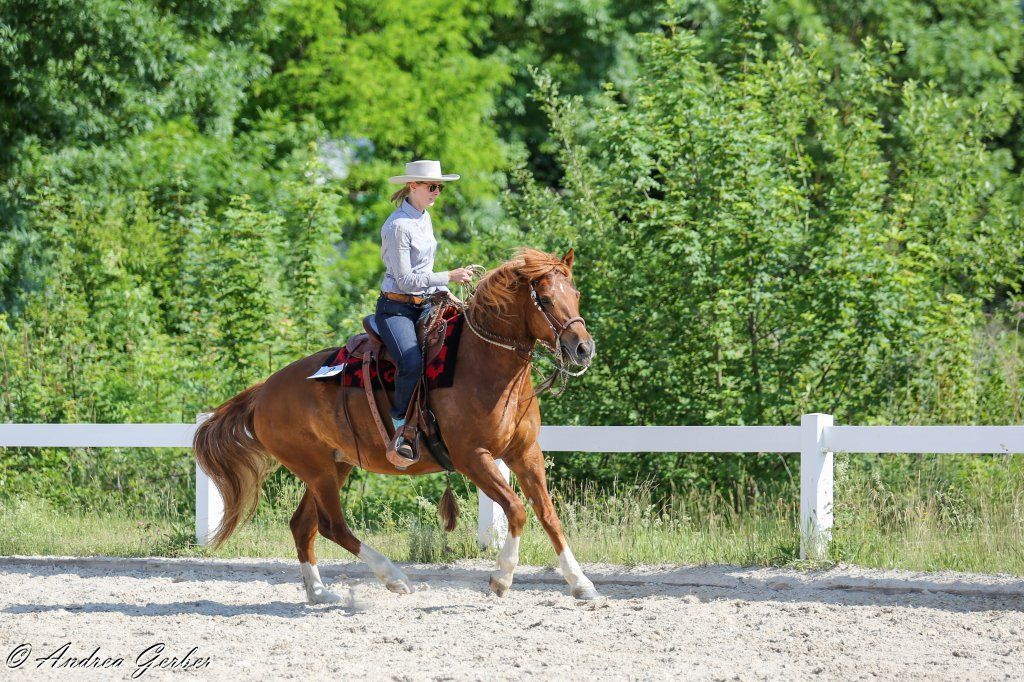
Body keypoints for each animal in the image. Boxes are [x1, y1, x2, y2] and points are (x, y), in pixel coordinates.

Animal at [192, 247, 600, 602]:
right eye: (544, 299)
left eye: (576, 293)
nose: (583, 348)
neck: (483, 364)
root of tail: (263, 392)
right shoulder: (473, 457)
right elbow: (516, 509)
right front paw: (502, 578)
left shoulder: (525, 452)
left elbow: (548, 515)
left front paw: (581, 584)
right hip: (317, 469)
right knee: (332, 526)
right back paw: (394, 577)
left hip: (332, 466)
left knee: (303, 525)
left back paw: (320, 593)